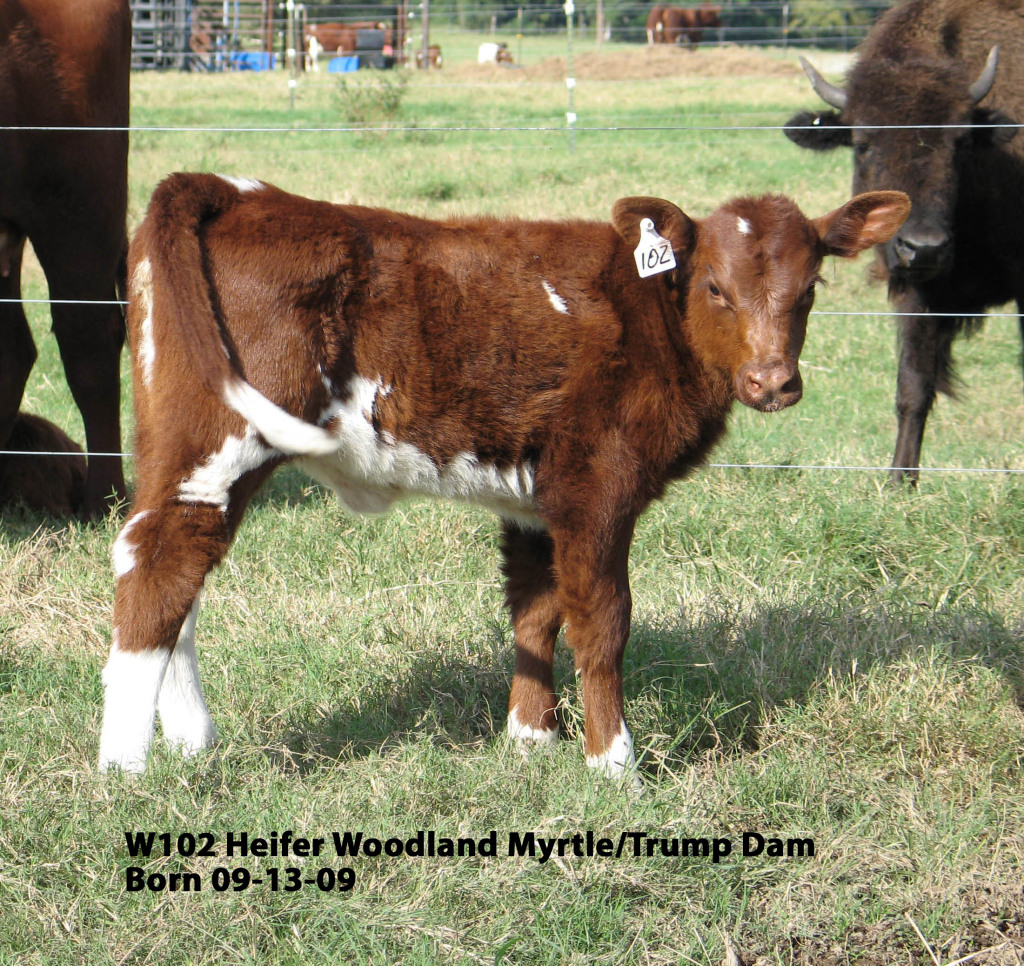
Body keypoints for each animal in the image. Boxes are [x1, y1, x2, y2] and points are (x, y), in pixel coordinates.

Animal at [99, 175, 909, 778]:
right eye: (714, 286)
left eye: (811, 287)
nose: (773, 382)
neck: (648, 311)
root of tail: (238, 191)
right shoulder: (598, 485)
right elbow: (602, 620)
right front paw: (613, 762)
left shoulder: (537, 497)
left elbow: (535, 608)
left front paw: (530, 739)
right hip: (222, 440)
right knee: (161, 566)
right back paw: (125, 769)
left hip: (179, 447)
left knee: (176, 577)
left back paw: (190, 740)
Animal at [782, 0, 1024, 483]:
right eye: (862, 143)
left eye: (960, 142)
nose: (924, 246)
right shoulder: (918, 291)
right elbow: (913, 385)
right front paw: (899, 480)